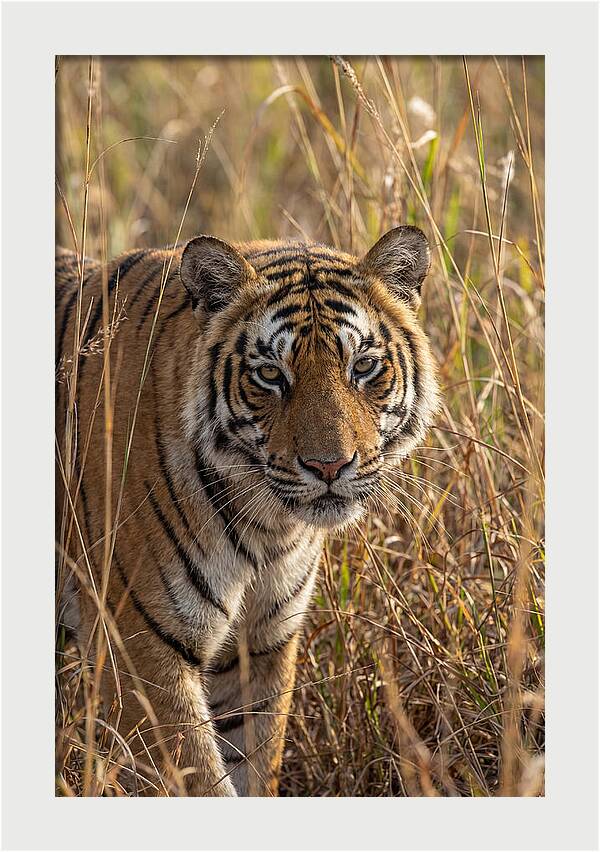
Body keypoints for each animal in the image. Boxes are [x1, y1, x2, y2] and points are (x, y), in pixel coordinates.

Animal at [55, 225, 439, 797]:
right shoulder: (140, 648)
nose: (329, 466)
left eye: (364, 366)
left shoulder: (261, 644)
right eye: (269, 374)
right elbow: (200, 781)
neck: (267, 528)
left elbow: (256, 764)